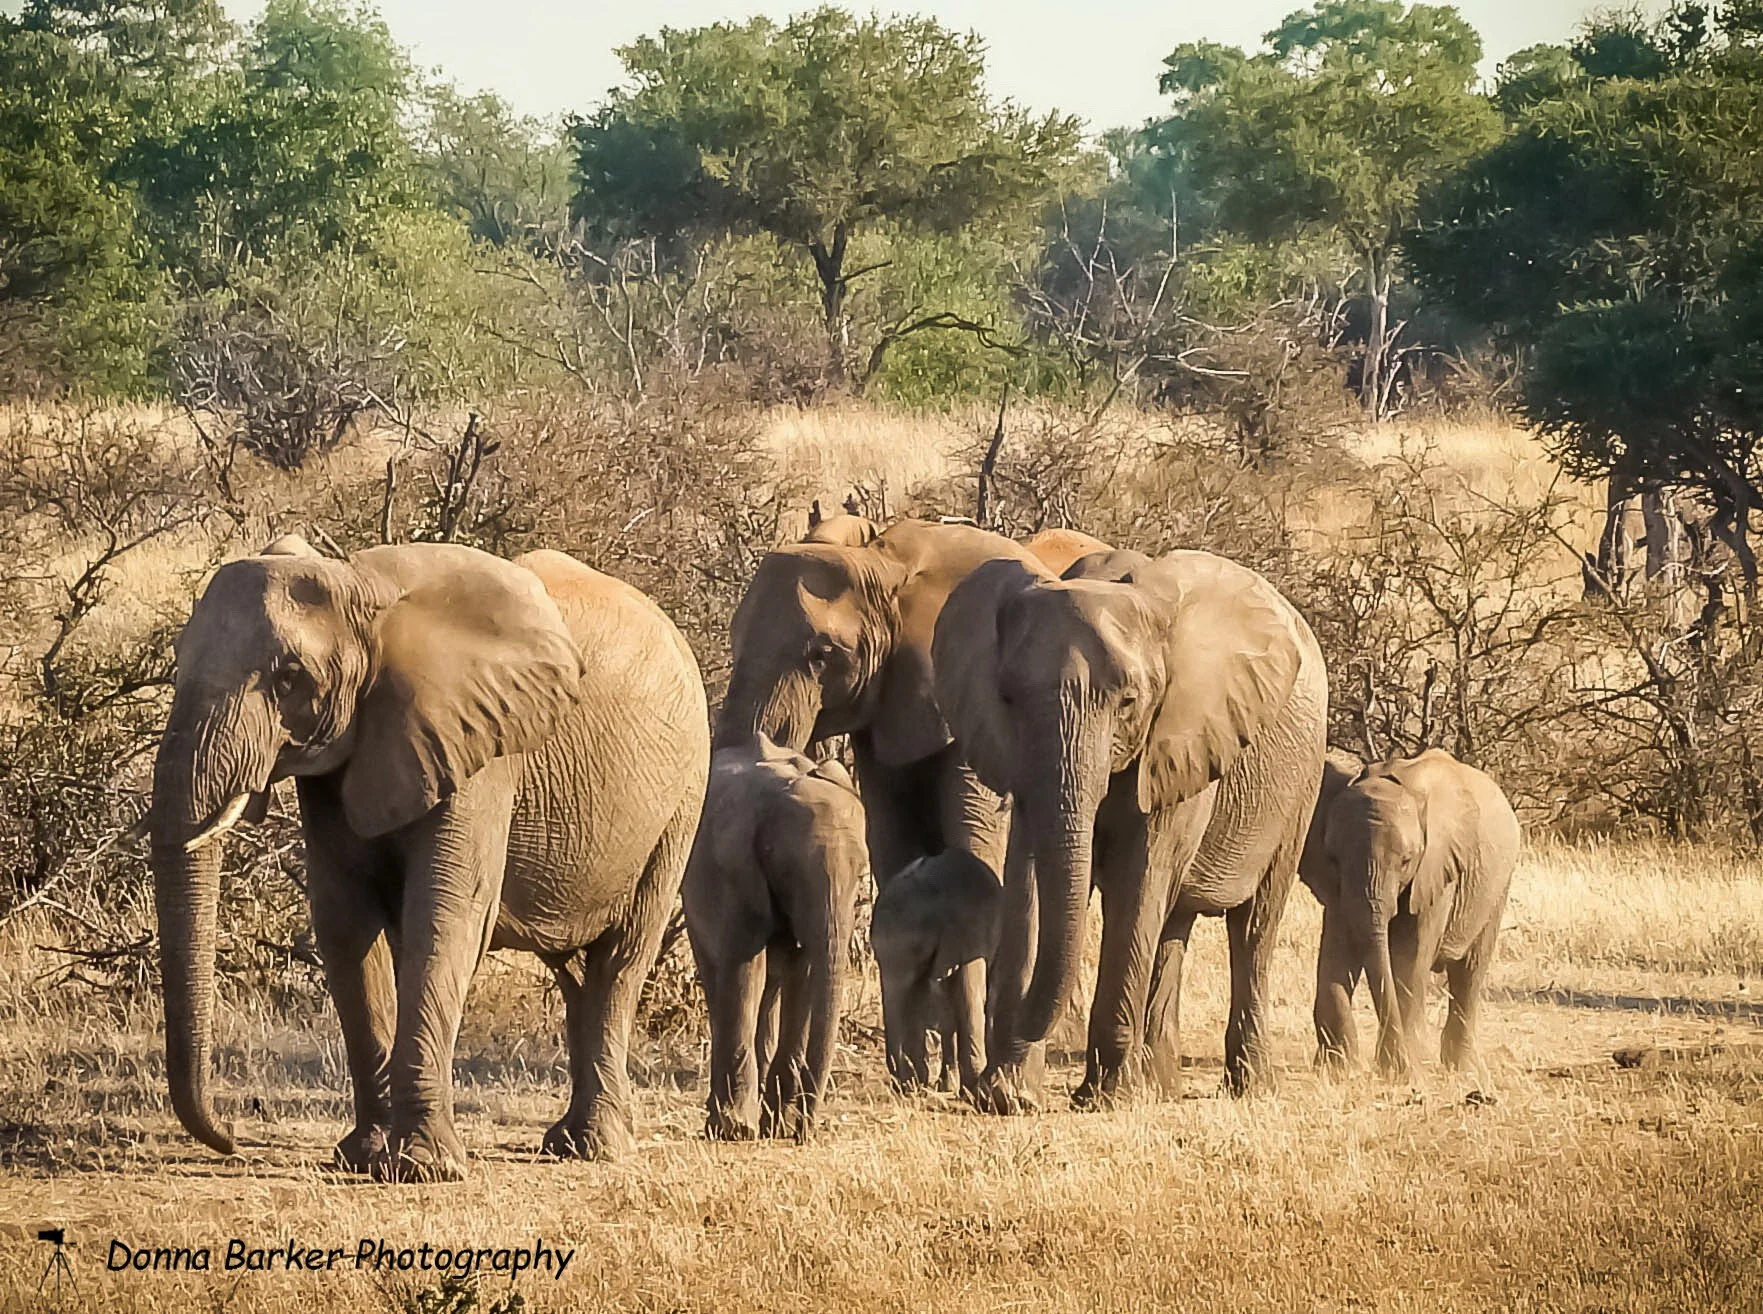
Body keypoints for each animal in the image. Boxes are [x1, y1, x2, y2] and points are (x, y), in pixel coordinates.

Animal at [148, 536, 708, 1180]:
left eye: (290, 677)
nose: (234, 1138)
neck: (362, 585)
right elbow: (345, 925)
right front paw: (363, 1157)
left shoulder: (484, 746)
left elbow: (443, 917)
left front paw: (423, 1167)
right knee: (574, 977)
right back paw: (568, 1140)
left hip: (681, 802)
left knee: (621, 958)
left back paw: (596, 1148)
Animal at [683, 735, 867, 1142]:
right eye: (787, 869)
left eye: (862, 872)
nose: (806, 1132)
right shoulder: (738, 870)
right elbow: (745, 969)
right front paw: (739, 1128)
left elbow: (807, 970)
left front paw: (781, 1125)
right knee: (723, 979)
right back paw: (723, 1120)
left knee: (774, 985)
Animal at [932, 547, 1328, 1112]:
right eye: (1007, 698)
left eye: (1128, 702)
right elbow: (1029, 875)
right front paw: (1007, 1096)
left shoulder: (1182, 737)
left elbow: (1139, 880)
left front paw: (1106, 1098)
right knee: (1173, 927)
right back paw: (1160, 1086)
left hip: (1301, 782)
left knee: (1253, 925)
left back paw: (1247, 1087)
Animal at [1305, 748, 1519, 1079]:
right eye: (1333, 858)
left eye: (1406, 860)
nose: (1400, 1066)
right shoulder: (1337, 886)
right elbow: (1336, 952)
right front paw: (1338, 1072)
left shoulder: (1437, 868)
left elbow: (1409, 957)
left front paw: (1400, 1071)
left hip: (1497, 884)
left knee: (1470, 971)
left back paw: (1462, 1071)